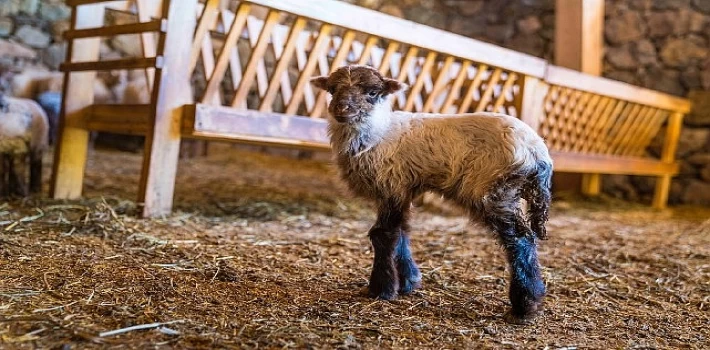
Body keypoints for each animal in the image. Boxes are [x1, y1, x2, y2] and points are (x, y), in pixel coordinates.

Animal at [312, 64, 556, 324]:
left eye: (372, 92)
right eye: (332, 89)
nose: (341, 109)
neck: (379, 133)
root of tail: (537, 152)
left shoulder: (390, 184)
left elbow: (383, 235)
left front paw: (382, 289)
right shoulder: (402, 188)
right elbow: (402, 232)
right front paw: (408, 281)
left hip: (493, 191)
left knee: (520, 240)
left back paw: (525, 304)